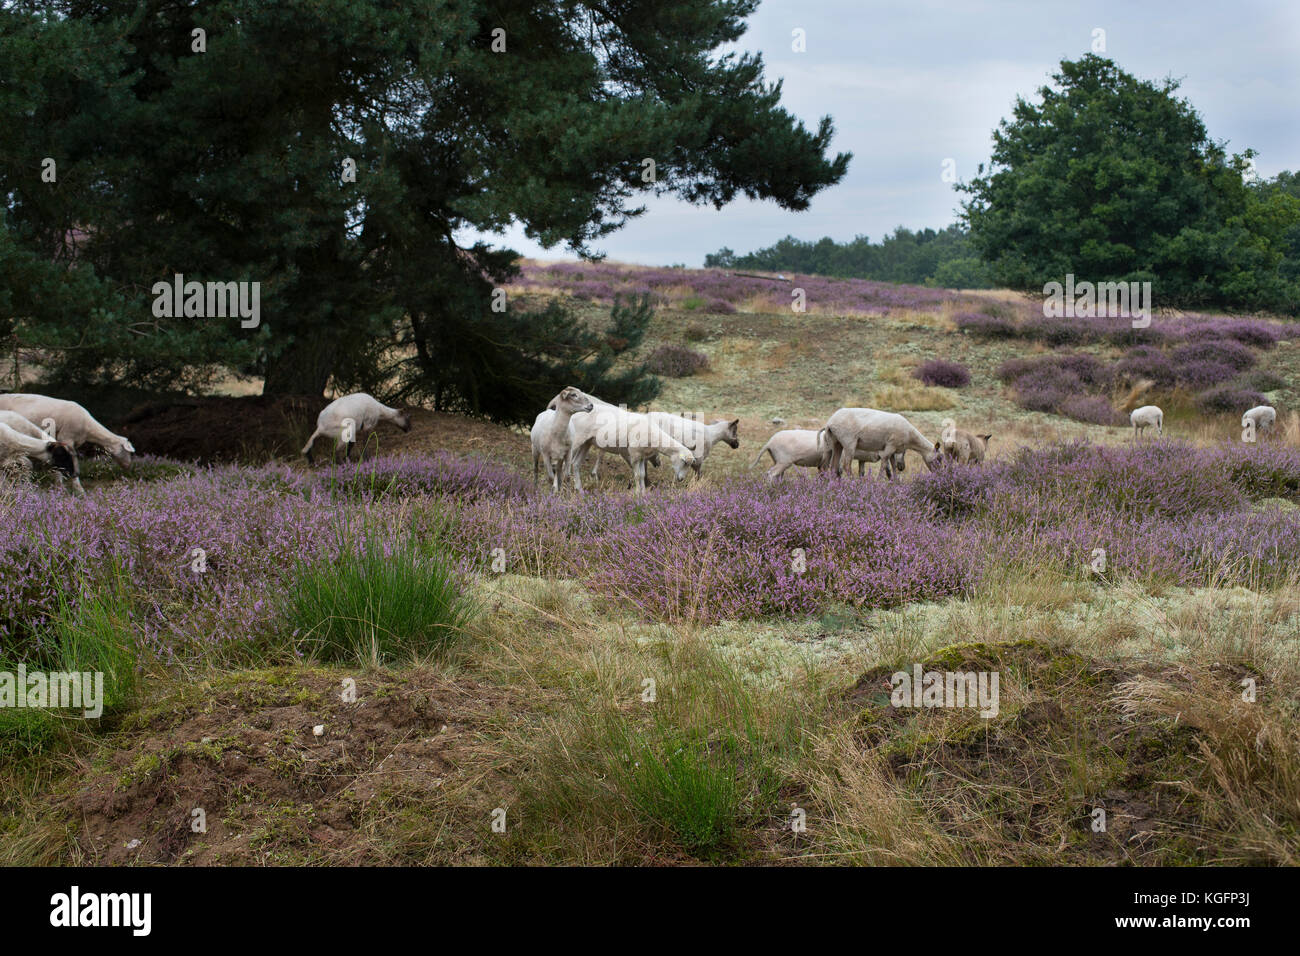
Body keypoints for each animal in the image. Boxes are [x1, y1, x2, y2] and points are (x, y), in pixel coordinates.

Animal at [564, 403, 696, 494]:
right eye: (685, 463)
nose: (681, 479)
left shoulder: (641, 456)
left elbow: (642, 474)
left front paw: (644, 493)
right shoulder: (634, 454)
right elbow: (637, 475)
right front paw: (637, 493)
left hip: (586, 442)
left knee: (575, 463)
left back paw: (579, 489)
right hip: (576, 440)